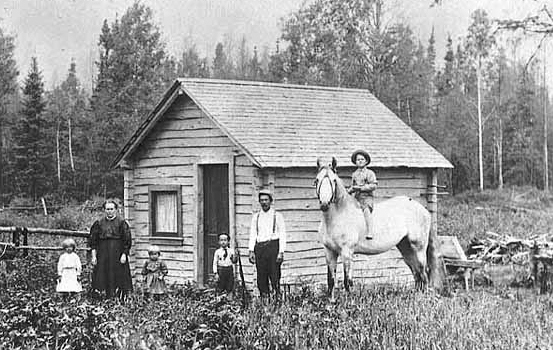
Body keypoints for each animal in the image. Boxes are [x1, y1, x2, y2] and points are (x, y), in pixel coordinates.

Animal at [314, 157, 440, 300]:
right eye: (317, 180)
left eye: (334, 180)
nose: (324, 204)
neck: (338, 217)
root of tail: (424, 210)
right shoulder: (329, 252)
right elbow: (331, 280)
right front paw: (331, 302)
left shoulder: (347, 252)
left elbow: (347, 281)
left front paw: (349, 303)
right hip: (405, 247)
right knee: (416, 273)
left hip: (418, 248)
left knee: (423, 273)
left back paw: (424, 299)